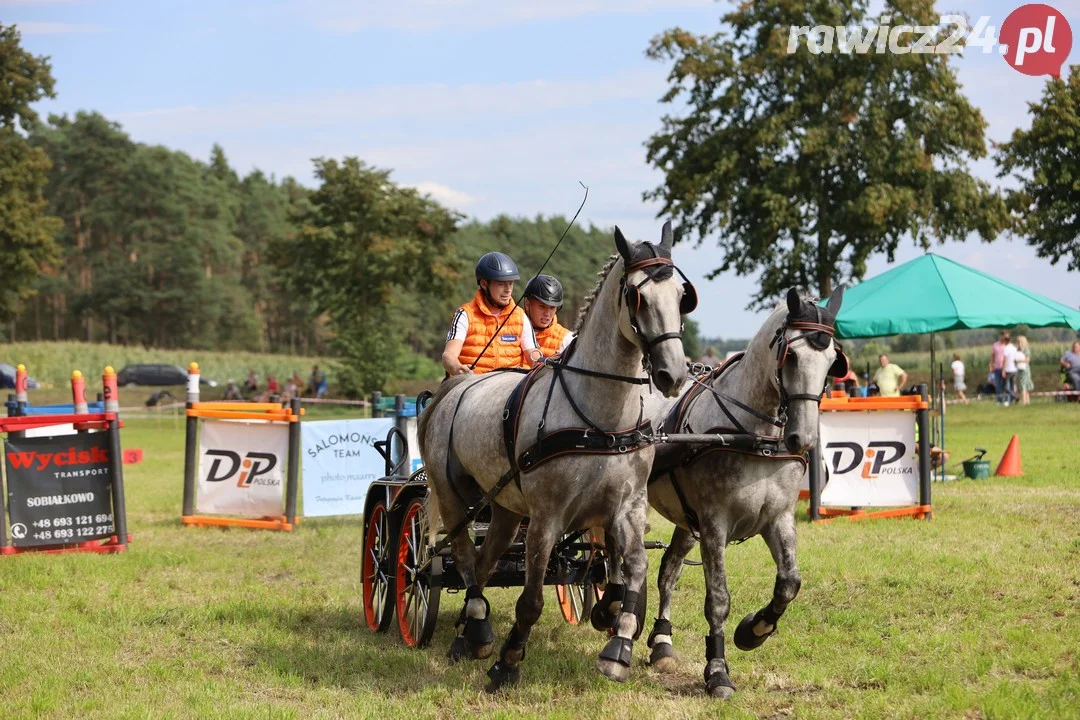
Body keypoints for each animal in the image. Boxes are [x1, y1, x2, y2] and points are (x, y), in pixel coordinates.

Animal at [416, 223, 695, 690]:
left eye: (681, 294)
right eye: (635, 295)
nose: (672, 374)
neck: (599, 419)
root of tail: (454, 388)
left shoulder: (627, 507)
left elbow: (634, 568)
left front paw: (618, 645)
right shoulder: (547, 517)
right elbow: (530, 600)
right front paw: (508, 663)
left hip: (506, 509)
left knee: (486, 562)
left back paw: (467, 635)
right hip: (456, 498)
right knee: (464, 558)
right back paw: (478, 627)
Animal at [596, 287, 846, 699]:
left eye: (831, 362)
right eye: (791, 356)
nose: (804, 438)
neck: (754, 436)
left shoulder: (779, 518)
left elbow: (789, 583)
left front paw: (754, 630)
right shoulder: (715, 525)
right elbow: (718, 600)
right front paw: (717, 671)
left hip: (685, 519)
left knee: (668, 572)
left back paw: (662, 643)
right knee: (615, 551)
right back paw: (612, 608)